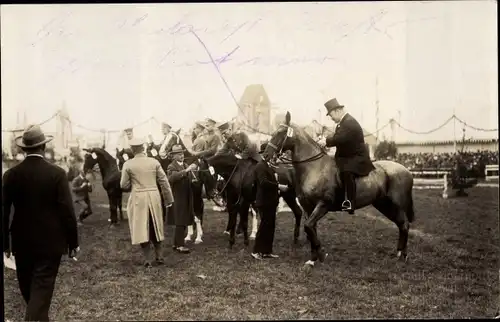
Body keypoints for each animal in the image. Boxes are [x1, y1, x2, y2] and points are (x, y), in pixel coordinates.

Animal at [262, 112, 414, 270]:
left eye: (281, 132)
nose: (265, 155)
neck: (314, 167)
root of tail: (407, 171)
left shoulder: (323, 205)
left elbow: (309, 226)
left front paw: (320, 254)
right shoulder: (308, 207)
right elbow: (311, 229)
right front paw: (313, 258)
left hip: (397, 204)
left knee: (405, 224)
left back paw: (403, 256)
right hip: (384, 204)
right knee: (401, 224)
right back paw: (399, 253)